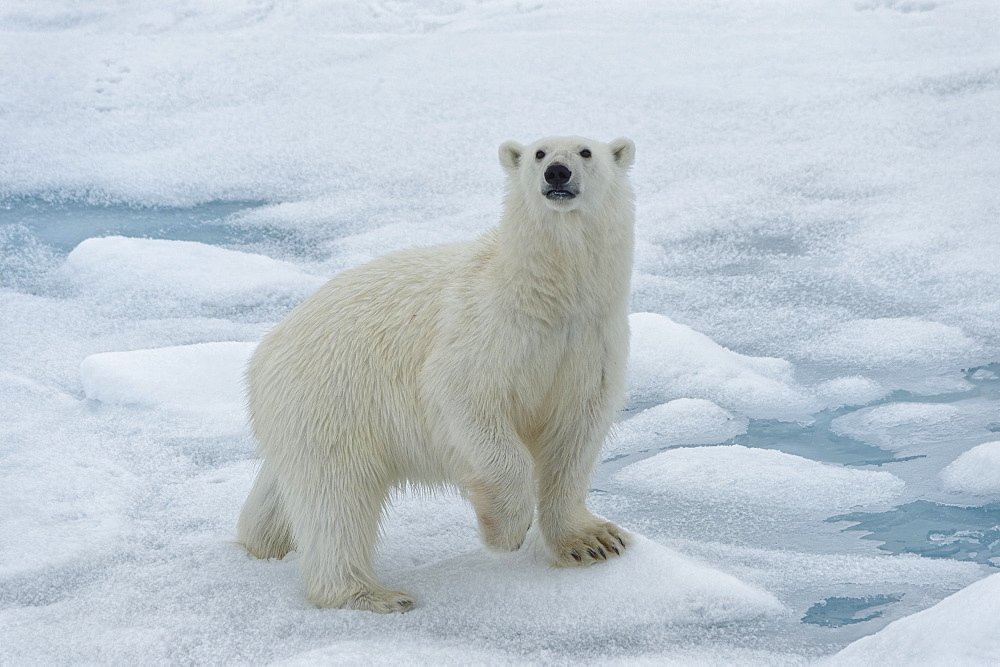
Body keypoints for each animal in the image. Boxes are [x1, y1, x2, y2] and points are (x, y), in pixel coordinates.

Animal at [238, 137, 636, 616]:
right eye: (540, 153)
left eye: (585, 151)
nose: (557, 173)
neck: (549, 296)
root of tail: (265, 351)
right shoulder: (487, 330)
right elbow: (466, 401)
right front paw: (504, 531)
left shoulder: (591, 342)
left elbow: (577, 433)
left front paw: (594, 540)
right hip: (332, 396)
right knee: (336, 498)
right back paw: (371, 594)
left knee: (286, 489)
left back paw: (263, 542)